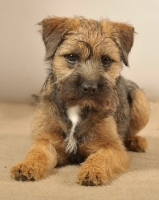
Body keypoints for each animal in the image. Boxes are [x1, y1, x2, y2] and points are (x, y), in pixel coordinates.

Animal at [9, 16, 149, 186]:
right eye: (71, 57)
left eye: (106, 60)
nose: (89, 87)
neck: (76, 107)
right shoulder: (46, 140)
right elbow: (37, 152)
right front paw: (26, 165)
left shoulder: (113, 147)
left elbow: (101, 157)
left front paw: (92, 171)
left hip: (141, 100)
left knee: (130, 131)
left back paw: (137, 141)